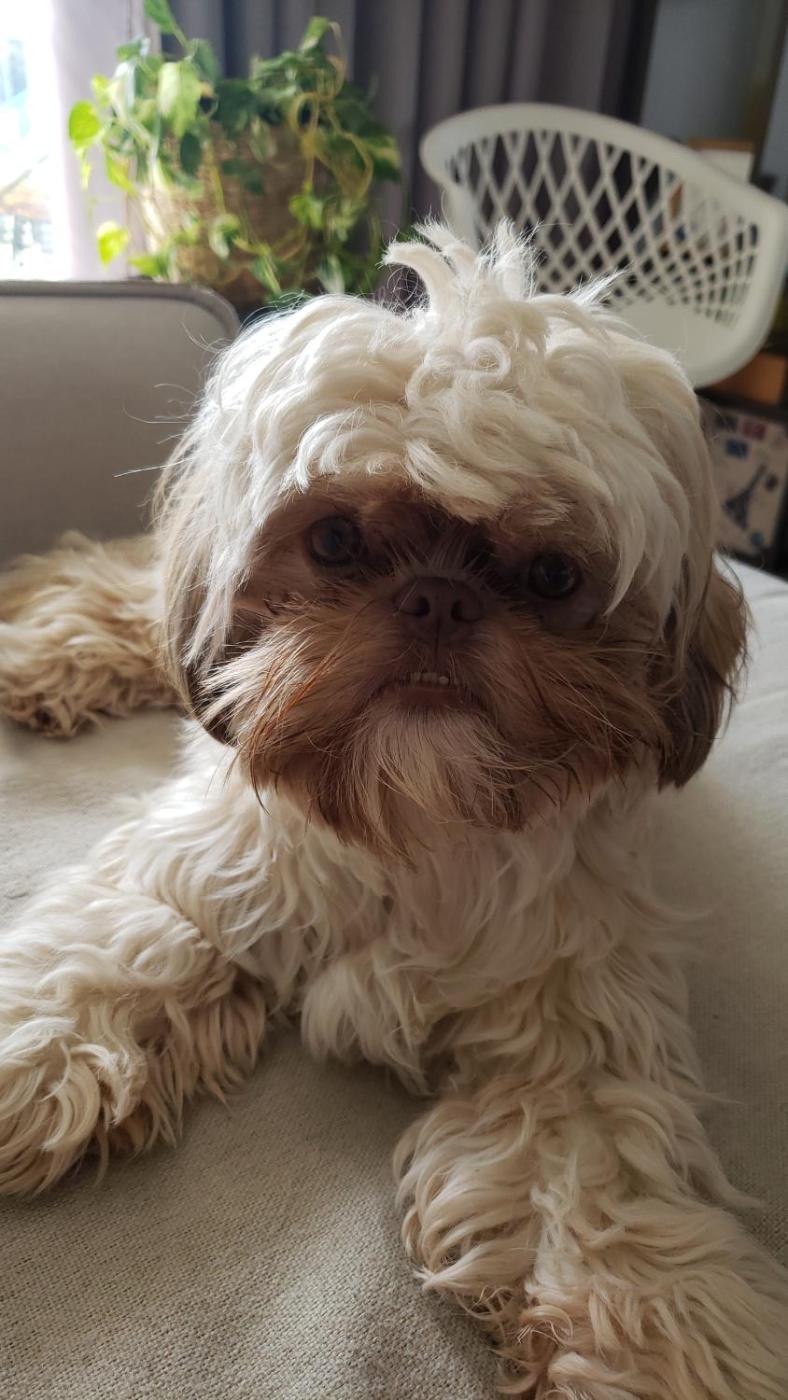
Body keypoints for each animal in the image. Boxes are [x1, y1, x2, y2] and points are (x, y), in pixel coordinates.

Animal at [1, 225, 786, 1398]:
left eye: (552, 573)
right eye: (333, 541)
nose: (437, 599)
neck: (414, 814)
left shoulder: (574, 1039)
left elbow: (603, 1189)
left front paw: (658, 1337)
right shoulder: (205, 874)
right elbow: (124, 949)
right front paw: (36, 1061)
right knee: (117, 585)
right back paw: (39, 649)